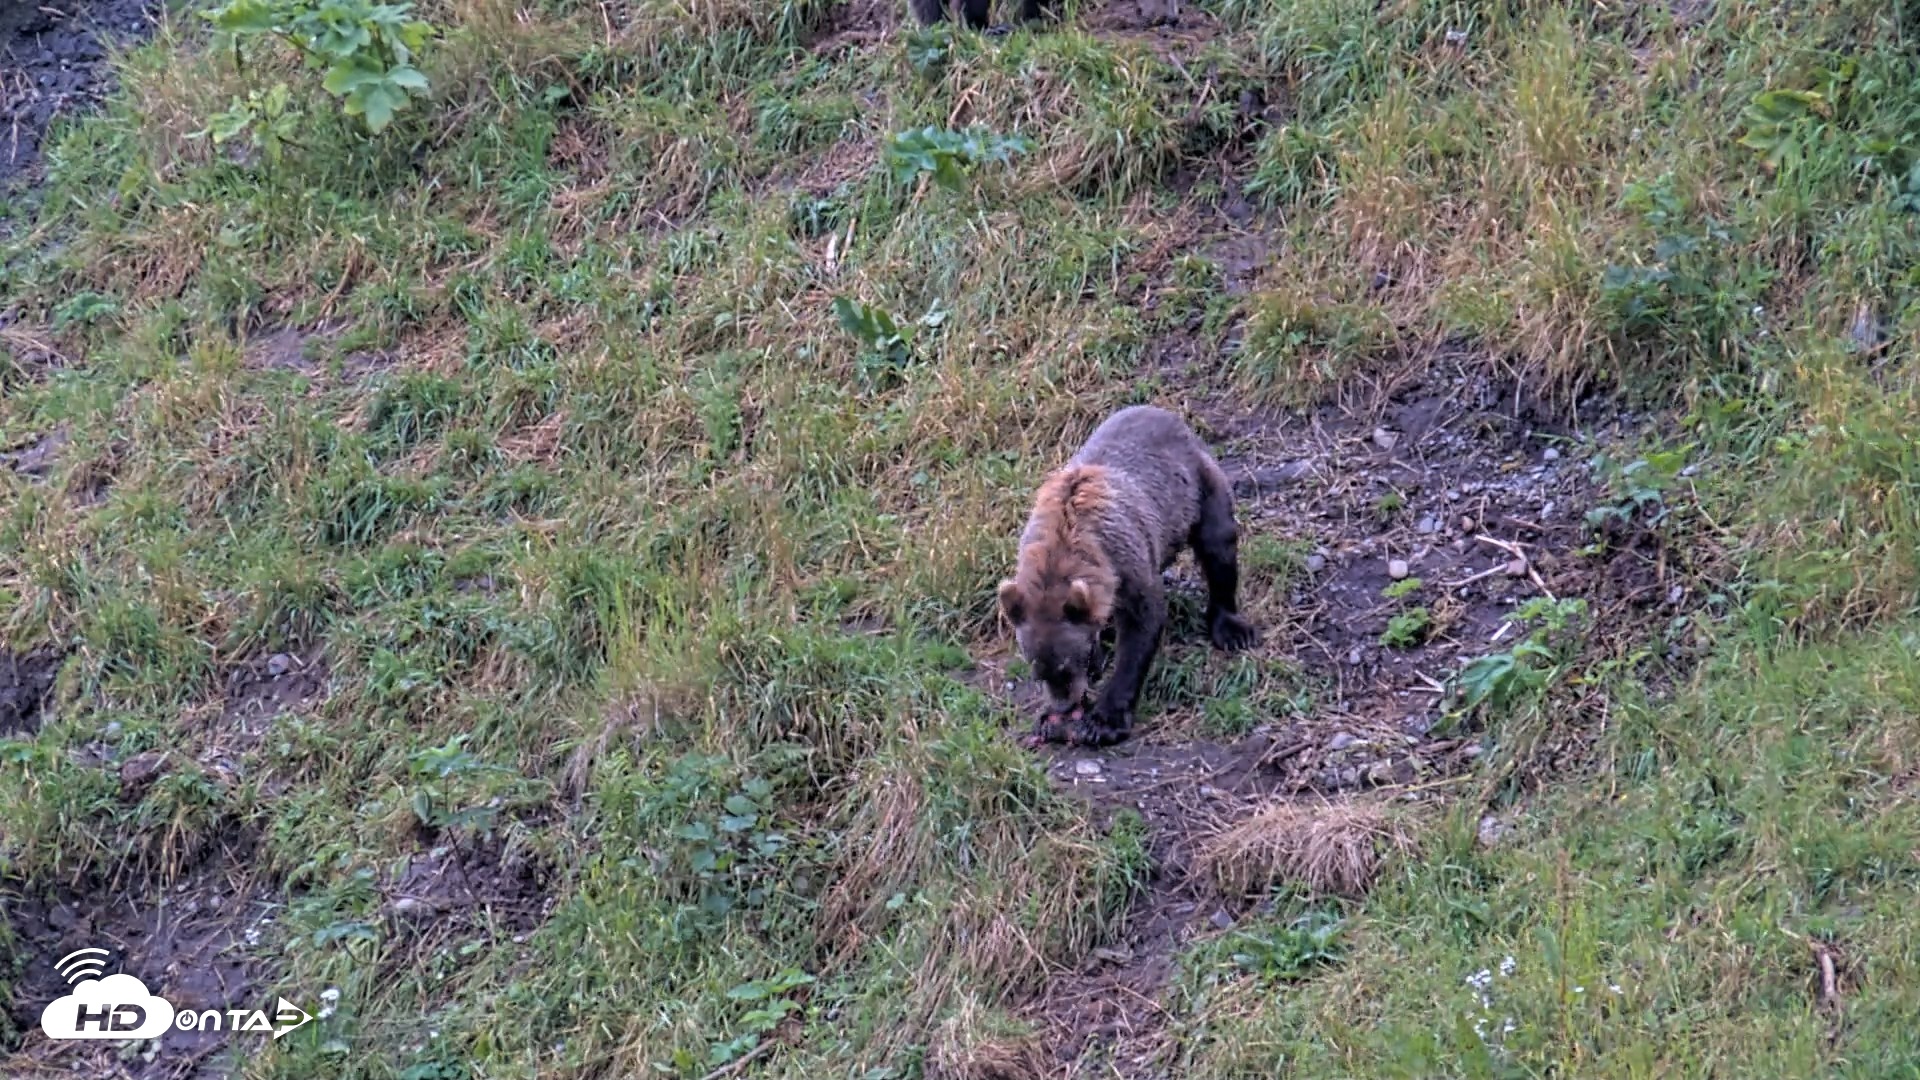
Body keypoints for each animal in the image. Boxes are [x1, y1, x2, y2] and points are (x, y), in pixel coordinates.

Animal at [997, 404, 1261, 748]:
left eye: (1067, 666)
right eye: (1037, 671)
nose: (1064, 705)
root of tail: (1166, 414)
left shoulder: (1125, 561)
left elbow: (1141, 626)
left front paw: (1103, 721)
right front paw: (1048, 716)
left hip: (1201, 485)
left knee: (1218, 545)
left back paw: (1231, 628)